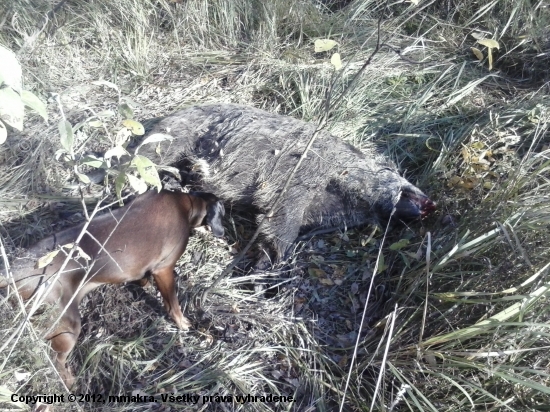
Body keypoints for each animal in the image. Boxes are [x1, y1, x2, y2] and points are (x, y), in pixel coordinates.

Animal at [0, 189, 224, 386]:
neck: (184, 204)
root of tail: (13, 270)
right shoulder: (164, 270)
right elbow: (173, 305)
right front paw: (183, 324)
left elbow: (142, 279)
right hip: (66, 327)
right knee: (56, 361)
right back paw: (70, 383)